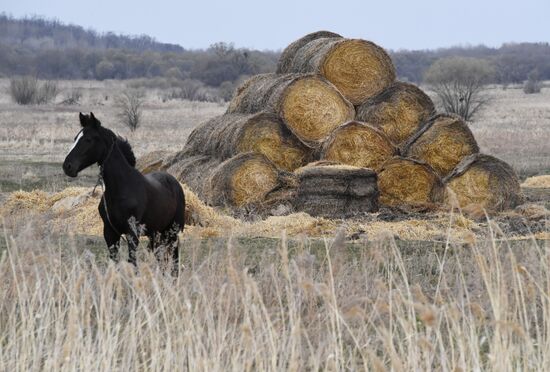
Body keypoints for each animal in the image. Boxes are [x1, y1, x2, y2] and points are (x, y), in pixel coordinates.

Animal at [63, 112, 185, 274]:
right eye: (75, 138)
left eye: (88, 139)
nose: (67, 166)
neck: (121, 189)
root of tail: (174, 182)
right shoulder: (110, 234)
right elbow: (114, 263)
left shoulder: (132, 233)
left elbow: (132, 264)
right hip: (156, 234)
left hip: (172, 232)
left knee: (174, 263)